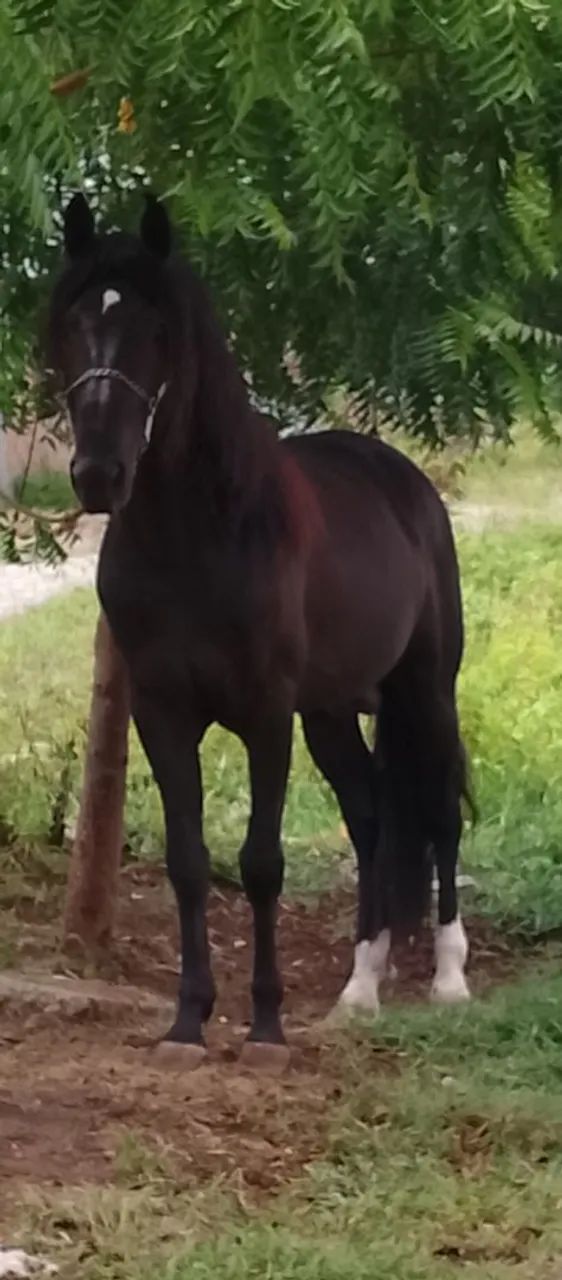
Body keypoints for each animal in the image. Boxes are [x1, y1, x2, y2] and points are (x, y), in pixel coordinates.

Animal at [48, 192, 471, 1070]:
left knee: (440, 810)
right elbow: (188, 862)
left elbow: (262, 862)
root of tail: (406, 481)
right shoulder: (163, 713)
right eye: (73, 323)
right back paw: (360, 989)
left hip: (425, 689)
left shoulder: (267, 714)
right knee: (374, 817)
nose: (100, 475)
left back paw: (451, 979)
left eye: (157, 331)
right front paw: (187, 1021)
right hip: (334, 710)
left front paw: (267, 1025)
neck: (199, 537)